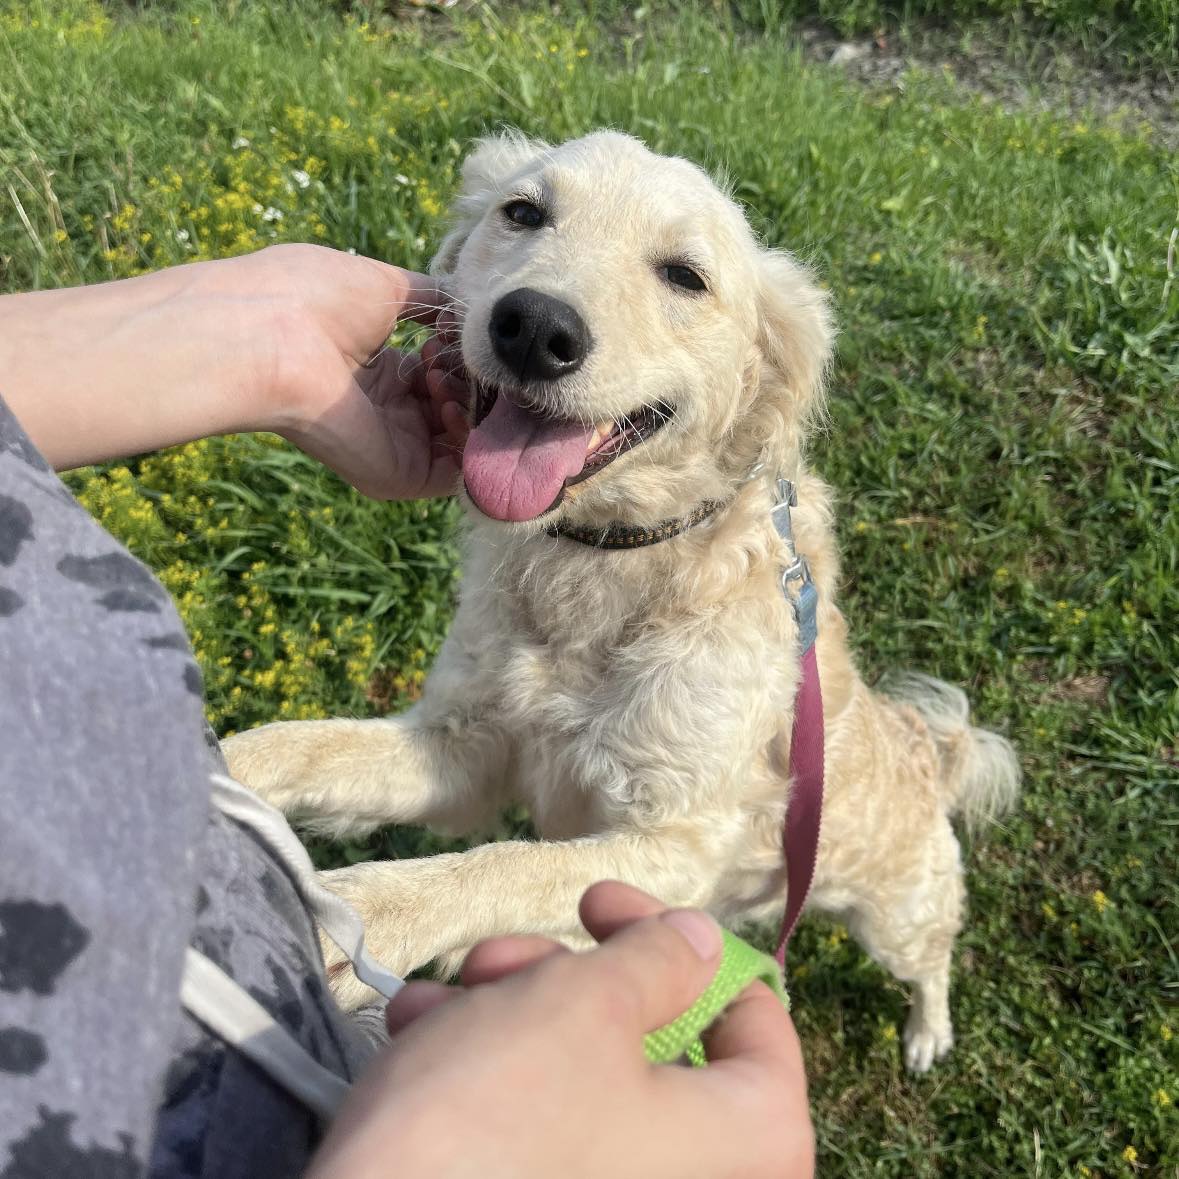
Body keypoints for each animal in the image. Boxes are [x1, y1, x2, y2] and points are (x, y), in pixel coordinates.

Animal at [223, 130, 1019, 1072]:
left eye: (684, 275)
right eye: (522, 211)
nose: (534, 328)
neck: (602, 563)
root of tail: (934, 752)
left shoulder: (672, 845)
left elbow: (504, 865)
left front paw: (362, 917)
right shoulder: (465, 750)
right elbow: (303, 745)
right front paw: (211, 766)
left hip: (893, 917)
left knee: (934, 960)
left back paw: (928, 1032)